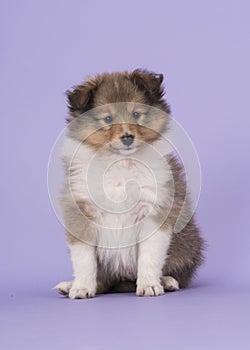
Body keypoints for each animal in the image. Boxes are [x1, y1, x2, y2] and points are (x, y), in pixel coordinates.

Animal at [54, 69, 203, 300]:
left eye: (136, 114)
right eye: (107, 118)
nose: (127, 137)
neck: (120, 163)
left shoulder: (154, 211)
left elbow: (150, 256)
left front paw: (149, 285)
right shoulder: (81, 212)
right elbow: (84, 260)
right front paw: (81, 288)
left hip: (186, 242)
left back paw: (167, 281)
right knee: (104, 280)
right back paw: (70, 285)